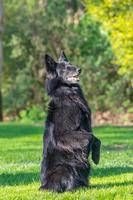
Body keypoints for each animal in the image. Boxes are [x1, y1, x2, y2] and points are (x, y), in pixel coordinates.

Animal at [39, 51, 101, 192]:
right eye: (65, 68)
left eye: (71, 64)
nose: (79, 69)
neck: (68, 95)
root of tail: (45, 185)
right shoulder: (62, 135)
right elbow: (89, 137)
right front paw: (86, 154)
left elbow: (96, 138)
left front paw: (95, 156)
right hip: (66, 167)